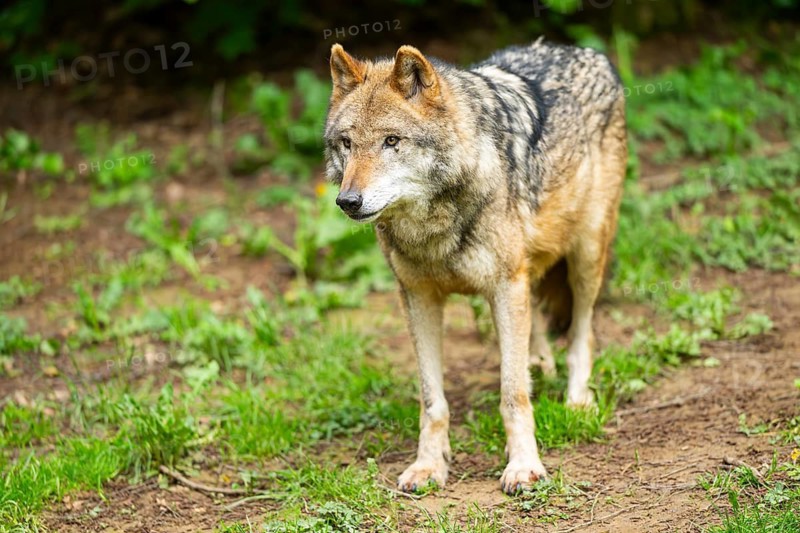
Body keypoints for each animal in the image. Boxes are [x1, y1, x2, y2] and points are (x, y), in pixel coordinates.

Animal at [323, 38, 626, 494]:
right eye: (346, 143)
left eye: (392, 141)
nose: (348, 201)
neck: (433, 226)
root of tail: (586, 51)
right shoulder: (418, 297)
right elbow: (433, 400)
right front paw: (429, 466)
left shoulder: (505, 283)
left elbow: (513, 394)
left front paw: (524, 466)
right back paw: (539, 363)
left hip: (586, 254)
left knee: (582, 331)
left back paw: (577, 399)